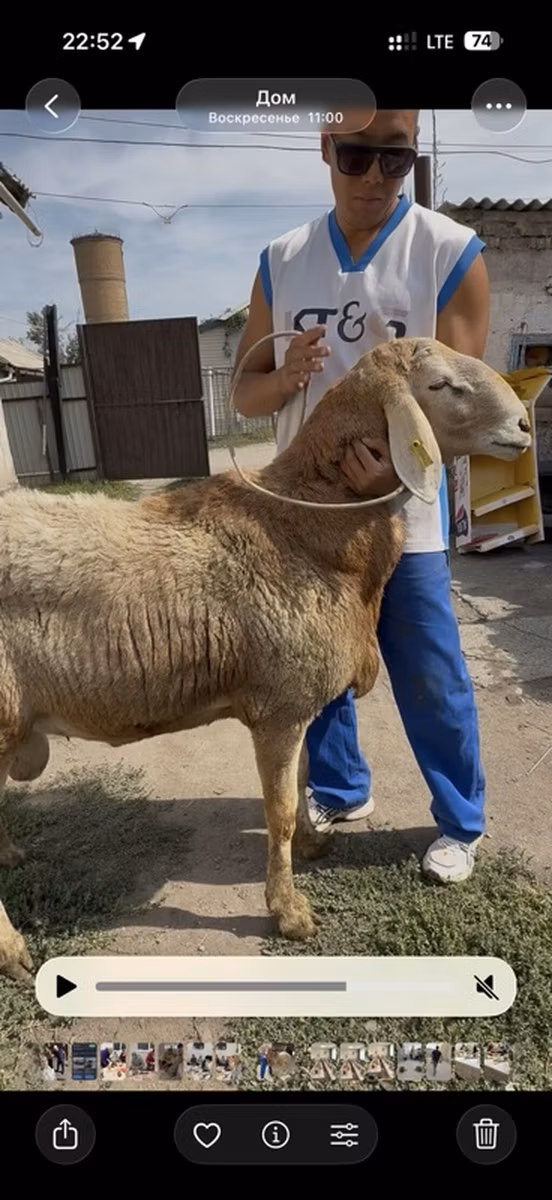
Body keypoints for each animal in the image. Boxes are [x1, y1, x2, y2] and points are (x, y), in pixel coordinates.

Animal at [0, 337, 532, 982]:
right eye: (441, 385)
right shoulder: (278, 707)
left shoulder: (298, 704)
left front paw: (311, 843)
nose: (525, 426)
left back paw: (9, 854)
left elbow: (301, 781)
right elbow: (275, 810)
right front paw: (290, 913)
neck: (307, 519)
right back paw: (12, 950)